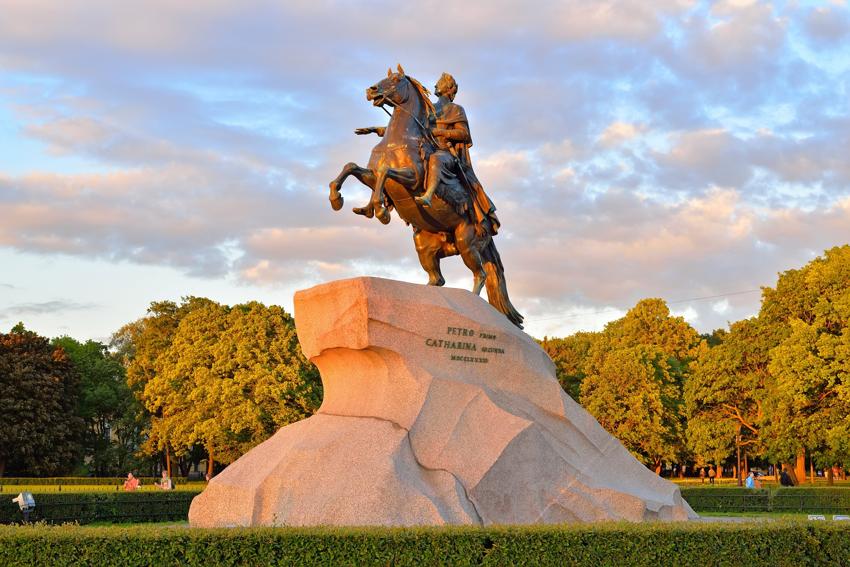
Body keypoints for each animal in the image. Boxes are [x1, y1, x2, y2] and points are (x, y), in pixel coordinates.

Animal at [326, 66, 520, 328]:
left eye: (396, 80)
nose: (371, 90)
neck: (398, 140)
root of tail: (488, 230)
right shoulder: (370, 177)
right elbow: (351, 167)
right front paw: (338, 199)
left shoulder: (412, 179)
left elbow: (385, 173)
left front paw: (381, 211)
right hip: (424, 248)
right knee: (437, 280)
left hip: (466, 243)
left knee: (479, 274)